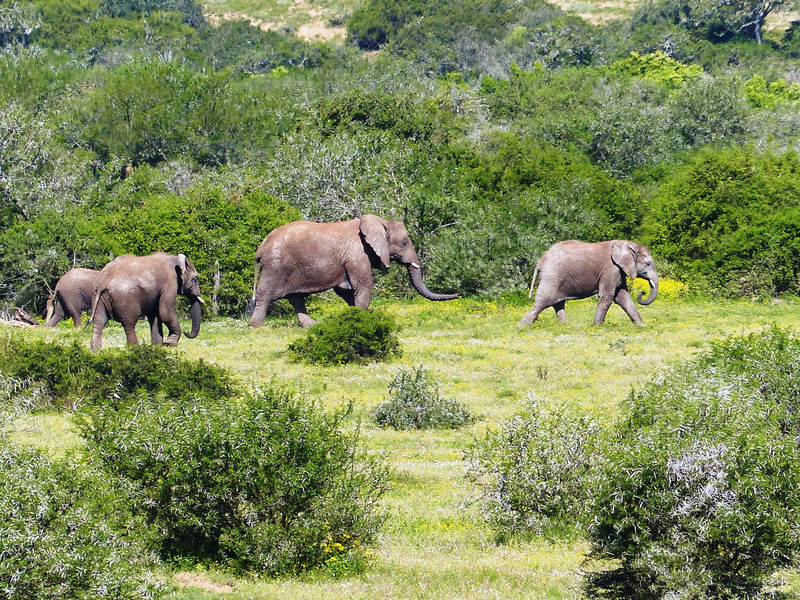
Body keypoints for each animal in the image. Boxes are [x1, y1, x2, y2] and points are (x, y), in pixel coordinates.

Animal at [250, 214, 462, 328]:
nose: (459, 294)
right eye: (403, 243)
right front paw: (363, 319)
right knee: (266, 293)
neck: (379, 221)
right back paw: (256, 326)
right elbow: (362, 286)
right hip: (276, 265)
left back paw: (313, 326)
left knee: (296, 298)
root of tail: (261, 248)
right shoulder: (358, 254)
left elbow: (346, 291)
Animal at [520, 239, 656, 328]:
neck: (627, 244)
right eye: (648, 264)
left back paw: (565, 327)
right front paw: (597, 327)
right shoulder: (611, 269)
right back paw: (521, 327)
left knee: (557, 303)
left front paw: (641, 326)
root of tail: (540, 261)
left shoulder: (618, 271)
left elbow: (622, 297)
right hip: (552, 276)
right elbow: (607, 296)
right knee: (543, 302)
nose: (642, 293)